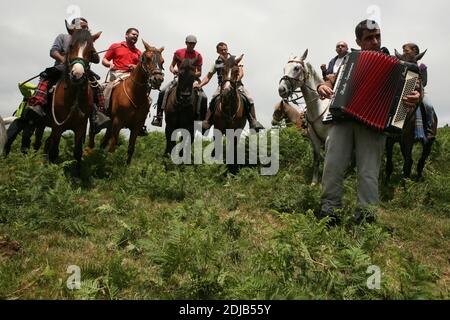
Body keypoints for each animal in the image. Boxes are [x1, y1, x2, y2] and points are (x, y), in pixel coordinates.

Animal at [43, 28, 101, 174]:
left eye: (91, 51)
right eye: (71, 46)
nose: (77, 74)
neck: (73, 96)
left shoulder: (80, 127)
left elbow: (78, 152)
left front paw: (76, 175)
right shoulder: (57, 127)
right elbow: (54, 152)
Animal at [278, 50, 330, 185]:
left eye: (296, 68)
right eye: (284, 68)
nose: (281, 90)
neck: (318, 108)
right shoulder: (315, 140)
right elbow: (316, 159)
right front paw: (314, 182)